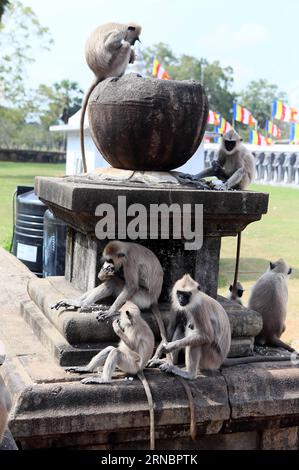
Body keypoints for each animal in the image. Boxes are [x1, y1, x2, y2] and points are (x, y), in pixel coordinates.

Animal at [79, 22, 141, 173]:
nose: (134, 43)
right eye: (135, 39)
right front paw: (132, 51)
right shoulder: (119, 33)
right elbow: (111, 45)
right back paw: (121, 74)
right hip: (112, 66)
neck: (123, 26)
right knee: (124, 46)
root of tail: (99, 73)